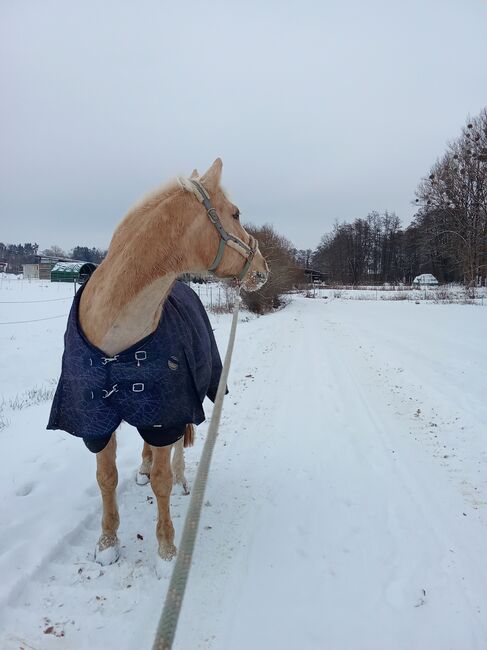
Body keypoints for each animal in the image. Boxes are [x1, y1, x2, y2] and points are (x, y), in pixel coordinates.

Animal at [48, 159, 268, 565]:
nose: (262, 268)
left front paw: (166, 546)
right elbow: (106, 478)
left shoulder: (167, 411)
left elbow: (162, 481)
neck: (116, 343)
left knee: (177, 449)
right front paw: (107, 543)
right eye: (235, 213)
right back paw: (144, 466)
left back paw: (179, 477)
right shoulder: (95, 420)